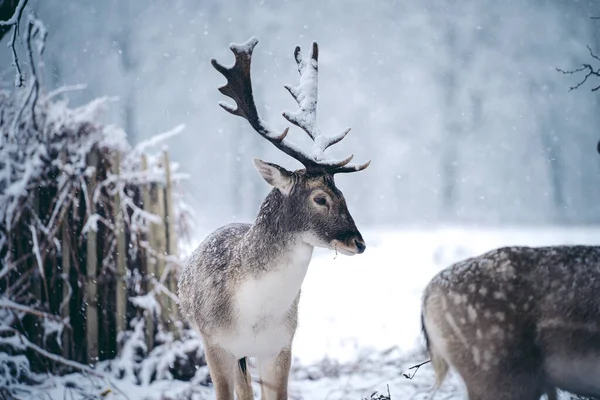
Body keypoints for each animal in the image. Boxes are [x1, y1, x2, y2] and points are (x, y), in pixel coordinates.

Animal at [176, 38, 368, 400]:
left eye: (343, 194)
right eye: (320, 198)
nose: (359, 242)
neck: (253, 315)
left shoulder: (281, 345)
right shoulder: (215, 344)